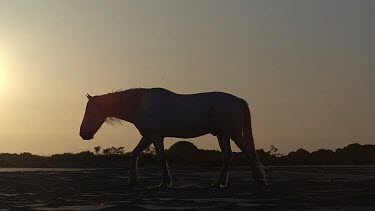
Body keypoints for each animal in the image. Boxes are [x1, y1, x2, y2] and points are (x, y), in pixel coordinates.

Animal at [79, 87, 268, 188]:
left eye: (90, 111)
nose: (83, 134)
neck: (141, 105)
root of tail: (239, 100)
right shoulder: (148, 136)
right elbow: (134, 154)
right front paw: (132, 180)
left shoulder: (156, 137)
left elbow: (161, 159)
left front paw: (164, 183)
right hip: (222, 134)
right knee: (227, 156)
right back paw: (218, 183)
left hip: (233, 134)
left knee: (249, 153)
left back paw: (260, 180)